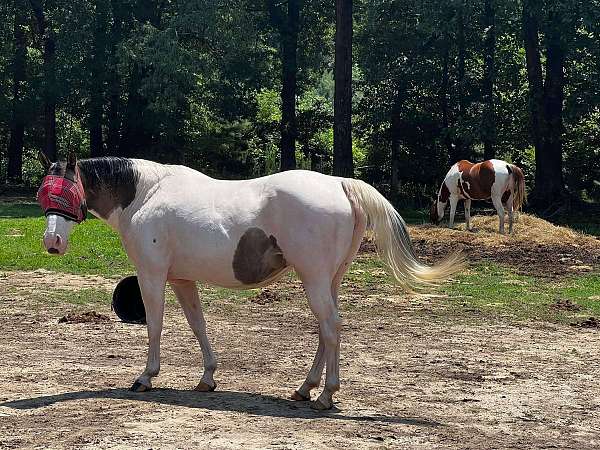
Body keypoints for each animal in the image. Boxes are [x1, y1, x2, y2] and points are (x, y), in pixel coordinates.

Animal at [36, 152, 464, 412]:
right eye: (46, 193)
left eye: (65, 192)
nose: (52, 242)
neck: (146, 194)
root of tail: (339, 183)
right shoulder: (182, 279)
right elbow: (198, 325)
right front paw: (207, 377)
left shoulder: (152, 276)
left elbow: (155, 326)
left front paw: (146, 377)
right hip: (330, 279)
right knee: (328, 328)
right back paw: (306, 387)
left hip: (313, 277)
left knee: (330, 326)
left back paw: (325, 394)